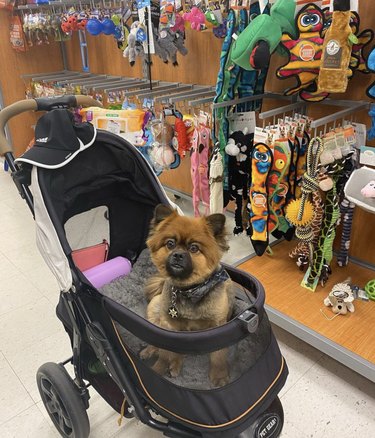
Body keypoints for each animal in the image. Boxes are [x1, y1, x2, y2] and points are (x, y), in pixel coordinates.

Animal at [141, 203, 234, 386]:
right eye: (170, 244)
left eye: (194, 248)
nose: (178, 254)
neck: (190, 290)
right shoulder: (170, 327)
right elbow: (167, 352)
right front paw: (160, 368)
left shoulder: (218, 326)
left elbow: (218, 355)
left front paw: (219, 376)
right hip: (156, 313)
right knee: (157, 344)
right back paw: (152, 353)